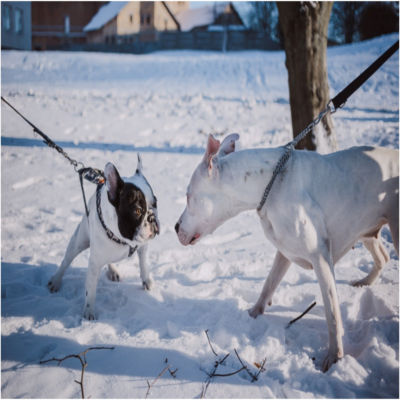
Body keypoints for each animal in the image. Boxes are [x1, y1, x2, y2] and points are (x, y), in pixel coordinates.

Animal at [47, 155, 159, 320]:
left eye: (156, 203)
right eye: (137, 211)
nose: (152, 217)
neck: (123, 239)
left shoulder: (143, 246)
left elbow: (144, 263)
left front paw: (147, 281)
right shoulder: (94, 263)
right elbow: (91, 290)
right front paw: (88, 312)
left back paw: (113, 271)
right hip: (79, 241)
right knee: (66, 261)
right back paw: (55, 281)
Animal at [177, 134, 398, 372]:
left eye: (188, 196)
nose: (175, 226)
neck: (269, 185)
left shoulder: (320, 258)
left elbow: (332, 312)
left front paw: (334, 357)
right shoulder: (283, 251)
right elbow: (269, 283)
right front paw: (253, 313)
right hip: (367, 230)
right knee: (383, 257)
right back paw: (365, 282)